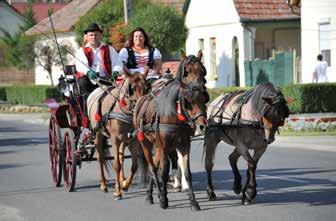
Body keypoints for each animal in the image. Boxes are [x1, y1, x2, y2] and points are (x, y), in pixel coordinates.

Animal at [133, 52, 207, 210]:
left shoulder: (184, 144)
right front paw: (163, 199)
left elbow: (187, 172)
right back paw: (154, 194)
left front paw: (193, 201)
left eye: (203, 70)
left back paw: (152, 192)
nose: (198, 86)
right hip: (146, 143)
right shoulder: (165, 146)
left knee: (155, 165)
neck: (175, 113)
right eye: (186, 71)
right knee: (153, 167)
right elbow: (164, 171)